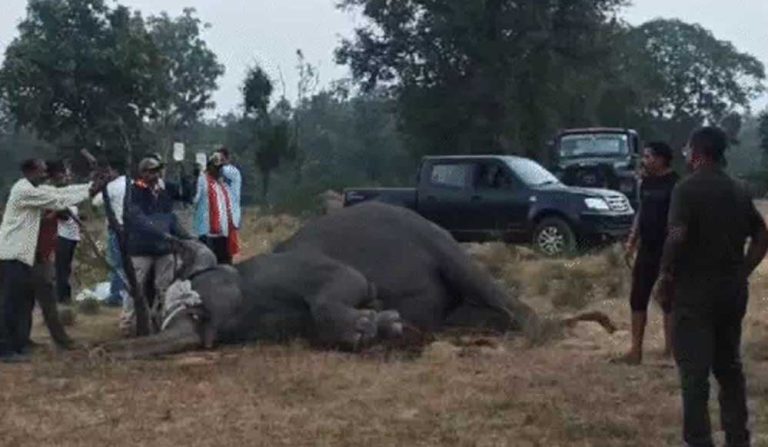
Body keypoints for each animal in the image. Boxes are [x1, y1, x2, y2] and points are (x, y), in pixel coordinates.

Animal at [106, 202, 544, 356]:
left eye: (193, 301)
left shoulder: (297, 269)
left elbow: (350, 283)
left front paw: (372, 323)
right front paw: (387, 326)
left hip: (442, 243)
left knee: (490, 290)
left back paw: (538, 329)